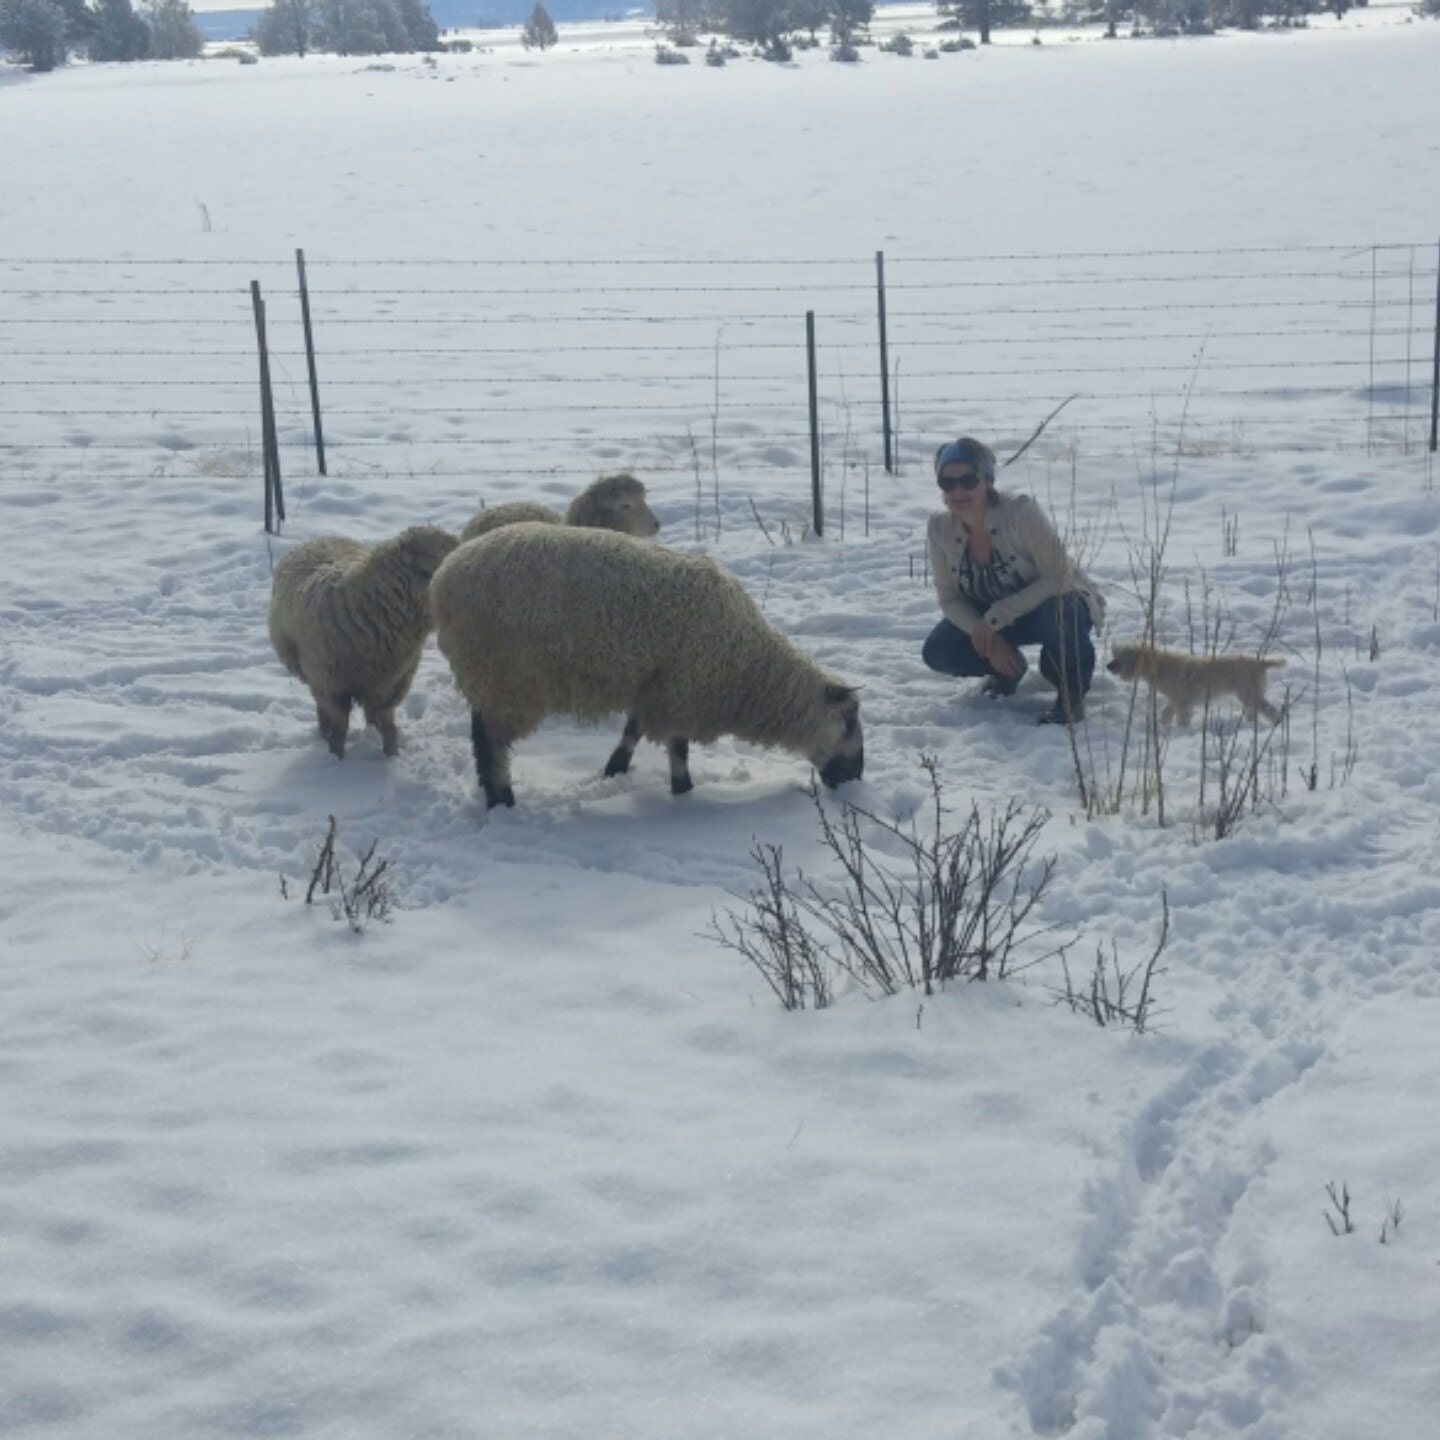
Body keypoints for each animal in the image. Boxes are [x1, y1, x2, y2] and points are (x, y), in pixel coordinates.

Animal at [268, 524, 458, 759]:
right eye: (428, 567)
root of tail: (322, 537)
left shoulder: (393, 684)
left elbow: (387, 723)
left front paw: (391, 755)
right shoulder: (332, 686)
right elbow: (340, 726)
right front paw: (336, 758)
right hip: (314, 675)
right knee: (322, 708)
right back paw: (323, 734)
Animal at [430, 524, 864, 808]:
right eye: (847, 724)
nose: (856, 778)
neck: (748, 668)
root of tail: (442, 577)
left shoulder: (658, 686)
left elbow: (634, 729)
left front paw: (615, 769)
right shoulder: (685, 687)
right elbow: (678, 749)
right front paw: (684, 793)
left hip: (491, 678)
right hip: (502, 677)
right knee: (490, 745)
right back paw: (502, 800)